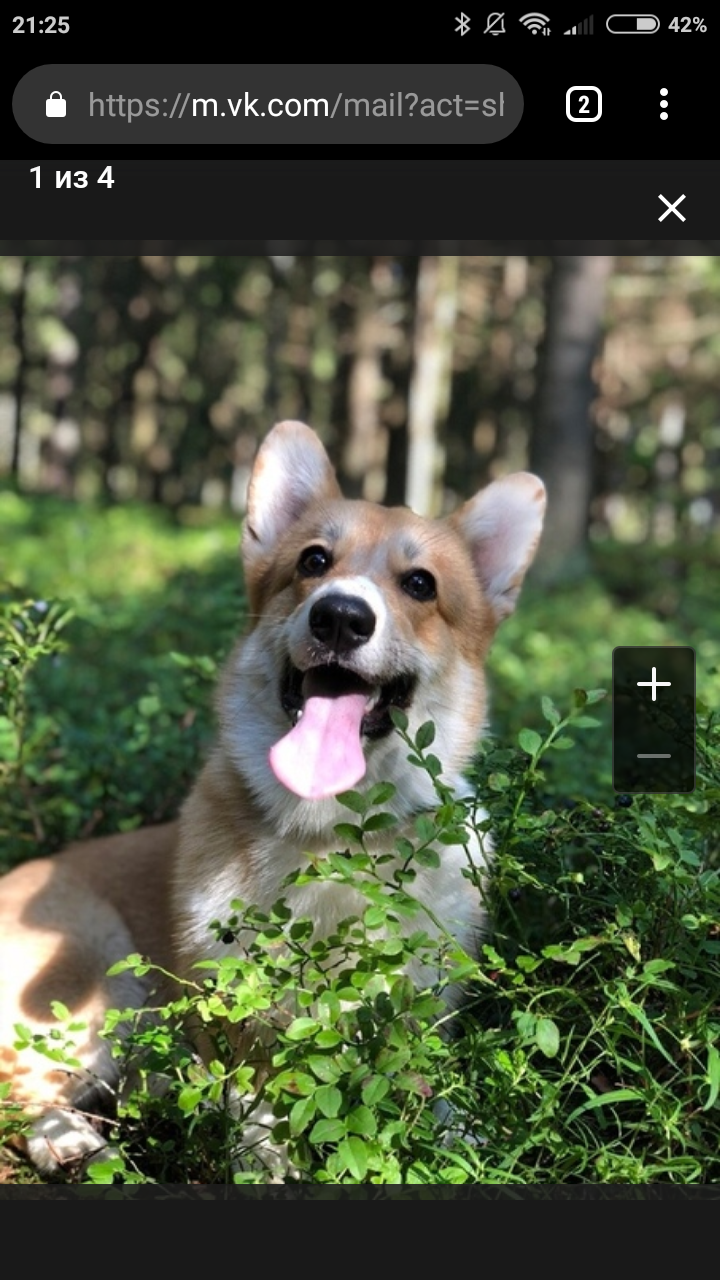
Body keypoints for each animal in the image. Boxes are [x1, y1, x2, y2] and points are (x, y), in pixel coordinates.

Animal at [0, 422, 543, 1177]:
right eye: (313, 560)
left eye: (420, 584)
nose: (340, 617)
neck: (335, 837)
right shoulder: (229, 1016)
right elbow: (252, 1096)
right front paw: (265, 1157)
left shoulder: (417, 1011)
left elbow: (429, 1090)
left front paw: (462, 1139)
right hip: (96, 986)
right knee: (24, 1085)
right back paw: (69, 1139)